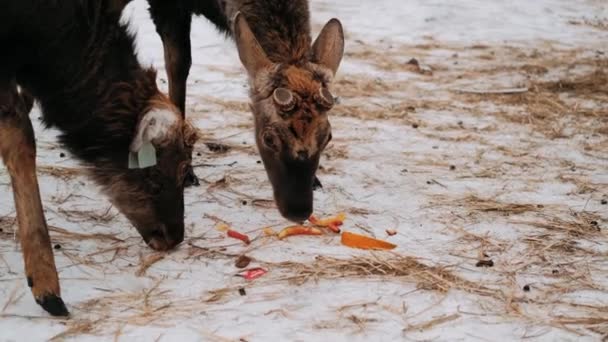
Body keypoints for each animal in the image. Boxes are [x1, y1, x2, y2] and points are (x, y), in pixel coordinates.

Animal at [147, 0, 344, 222]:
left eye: (328, 137)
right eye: (268, 138)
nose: (299, 210)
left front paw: (315, 180)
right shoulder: (167, 8)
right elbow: (178, 66)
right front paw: (185, 171)